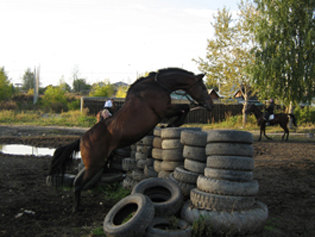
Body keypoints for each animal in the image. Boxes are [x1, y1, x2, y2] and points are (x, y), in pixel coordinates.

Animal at [48, 67, 214, 211]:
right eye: (203, 87)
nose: (210, 105)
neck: (158, 85)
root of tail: (82, 140)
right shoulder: (164, 110)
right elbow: (185, 107)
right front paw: (171, 124)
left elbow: (184, 108)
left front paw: (169, 124)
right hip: (94, 164)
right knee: (78, 183)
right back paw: (76, 208)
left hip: (96, 164)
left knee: (79, 182)